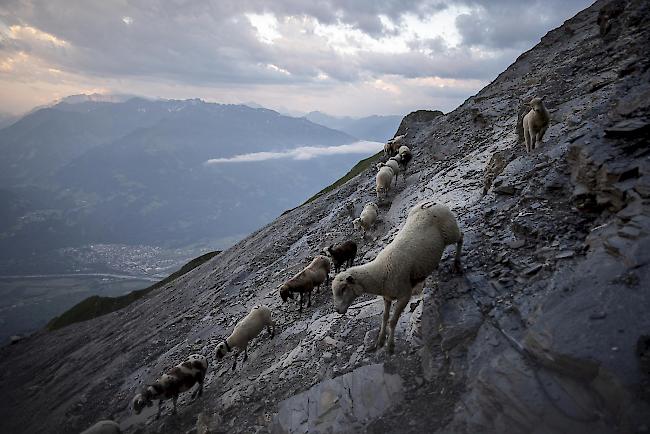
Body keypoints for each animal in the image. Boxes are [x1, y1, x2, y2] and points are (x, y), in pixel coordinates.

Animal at [332, 200, 464, 352]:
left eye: (343, 289)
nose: (337, 310)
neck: (379, 273)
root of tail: (431, 202)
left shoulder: (404, 295)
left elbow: (393, 321)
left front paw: (390, 346)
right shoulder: (387, 297)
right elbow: (384, 317)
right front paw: (380, 340)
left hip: (450, 231)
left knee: (461, 237)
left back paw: (457, 263)